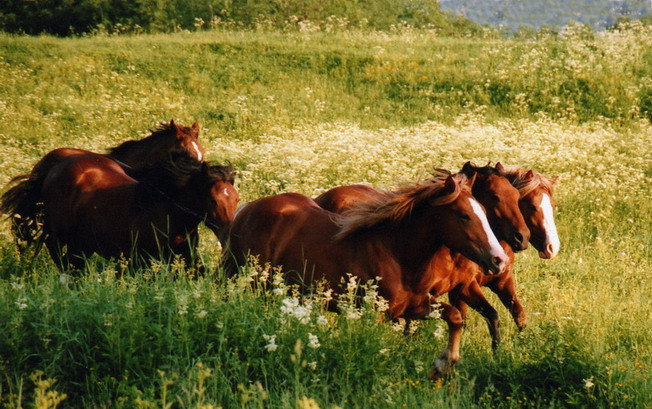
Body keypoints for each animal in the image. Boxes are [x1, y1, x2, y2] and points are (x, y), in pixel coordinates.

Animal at [1, 151, 237, 270]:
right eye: (213, 200)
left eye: (237, 198)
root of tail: (55, 168)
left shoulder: (186, 259)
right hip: (60, 239)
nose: (228, 234)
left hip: (83, 245)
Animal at [225, 171, 510, 378]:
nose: (499, 260)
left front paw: (443, 364)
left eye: (483, 212)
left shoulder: (411, 307)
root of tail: (246, 209)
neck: (396, 252)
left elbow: (454, 317)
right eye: (464, 216)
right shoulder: (378, 313)